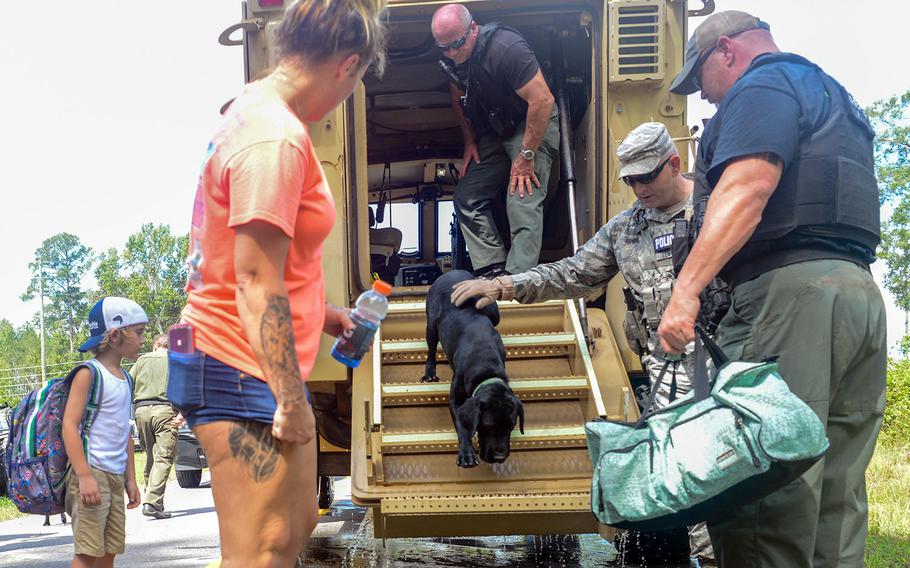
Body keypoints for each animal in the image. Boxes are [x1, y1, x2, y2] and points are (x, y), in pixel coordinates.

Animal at [422, 270, 524, 466]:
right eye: (488, 426)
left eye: (510, 426)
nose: (499, 458)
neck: (486, 367)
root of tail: (452, 272)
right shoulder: (455, 400)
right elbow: (463, 427)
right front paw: (467, 453)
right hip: (431, 325)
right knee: (431, 349)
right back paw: (429, 372)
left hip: (492, 310)